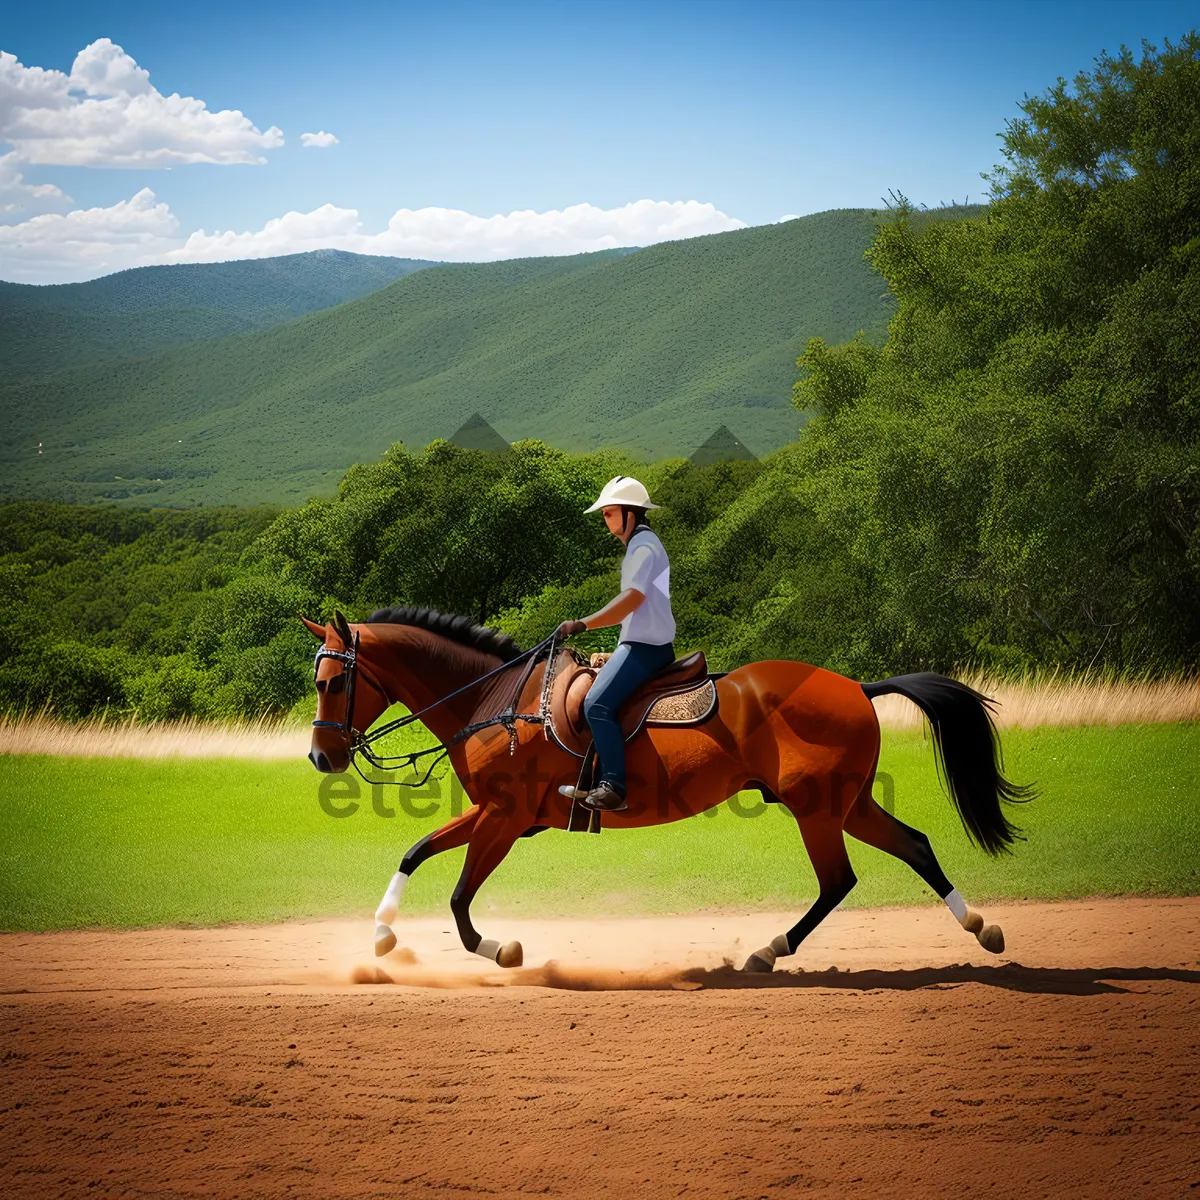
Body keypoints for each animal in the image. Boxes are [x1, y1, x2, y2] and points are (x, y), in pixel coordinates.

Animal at [302, 609, 1032, 974]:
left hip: (818, 807)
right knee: (914, 846)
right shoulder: (494, 813)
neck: (497, 701)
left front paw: (499, 950)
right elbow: (416, 851)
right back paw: (982, 929)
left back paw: (768, 951)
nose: (320, 755)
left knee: (840, 880)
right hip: (847, 803)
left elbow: (457, 898)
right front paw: (381, 935)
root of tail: (855, 685)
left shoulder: (504, 818)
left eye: (331, 683)